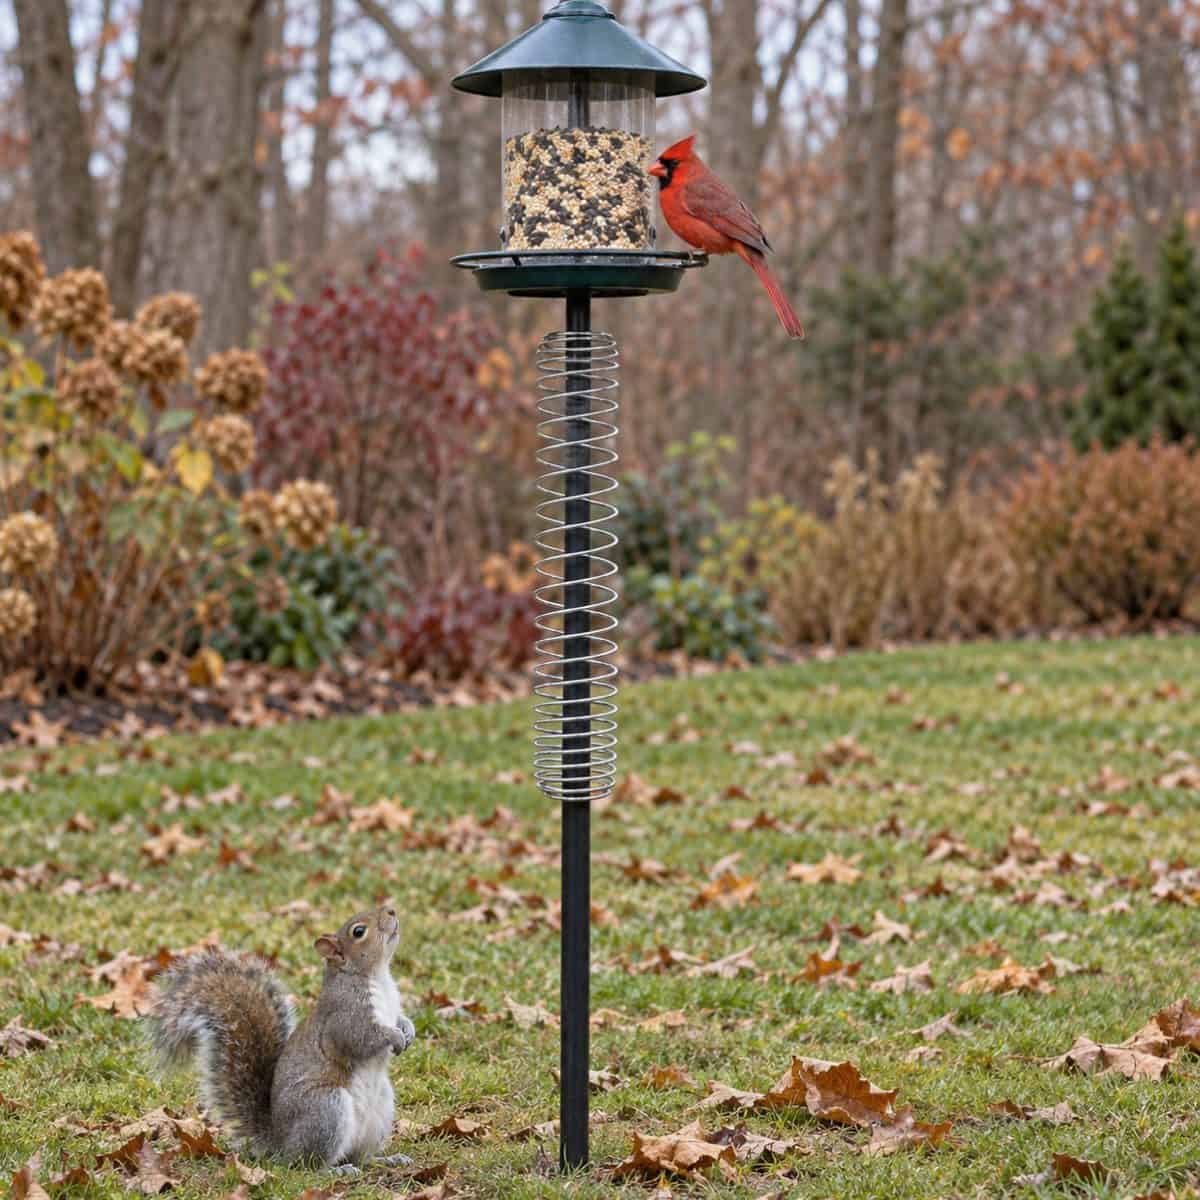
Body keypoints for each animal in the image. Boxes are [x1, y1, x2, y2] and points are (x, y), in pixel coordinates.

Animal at [147, 901, 417, 1173]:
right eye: (359, 932)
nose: (391, 911)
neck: (376, 975)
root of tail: (281, 1143)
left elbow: (399, 1019)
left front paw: (407, 1030)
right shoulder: (344, 1015)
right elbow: (360, 1038)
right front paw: (394, 1036)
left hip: (381, 1109)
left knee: (359, 1156)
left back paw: (386, 1159)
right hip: (326, 1109)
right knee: (308, 1163)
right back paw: (335, 1170)